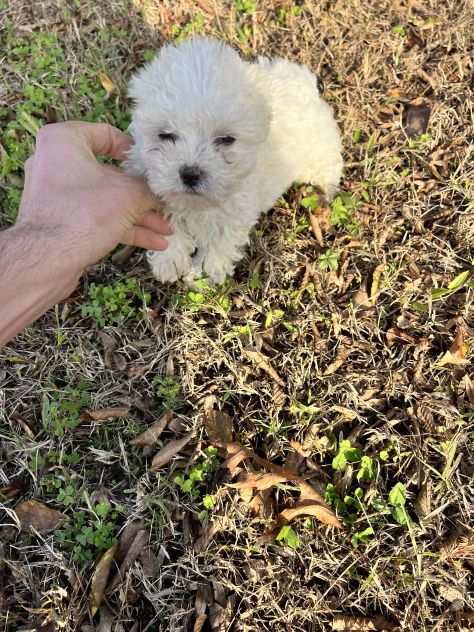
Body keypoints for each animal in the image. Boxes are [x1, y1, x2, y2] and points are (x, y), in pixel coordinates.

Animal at [127, 37, 340, 284]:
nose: (190, 174)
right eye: (165, 134)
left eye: (226, 139)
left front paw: (202, 275)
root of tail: (302, 82)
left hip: (320, 151)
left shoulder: (238, 210)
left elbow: (221, 243)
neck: (198, 206)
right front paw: (168, 260)